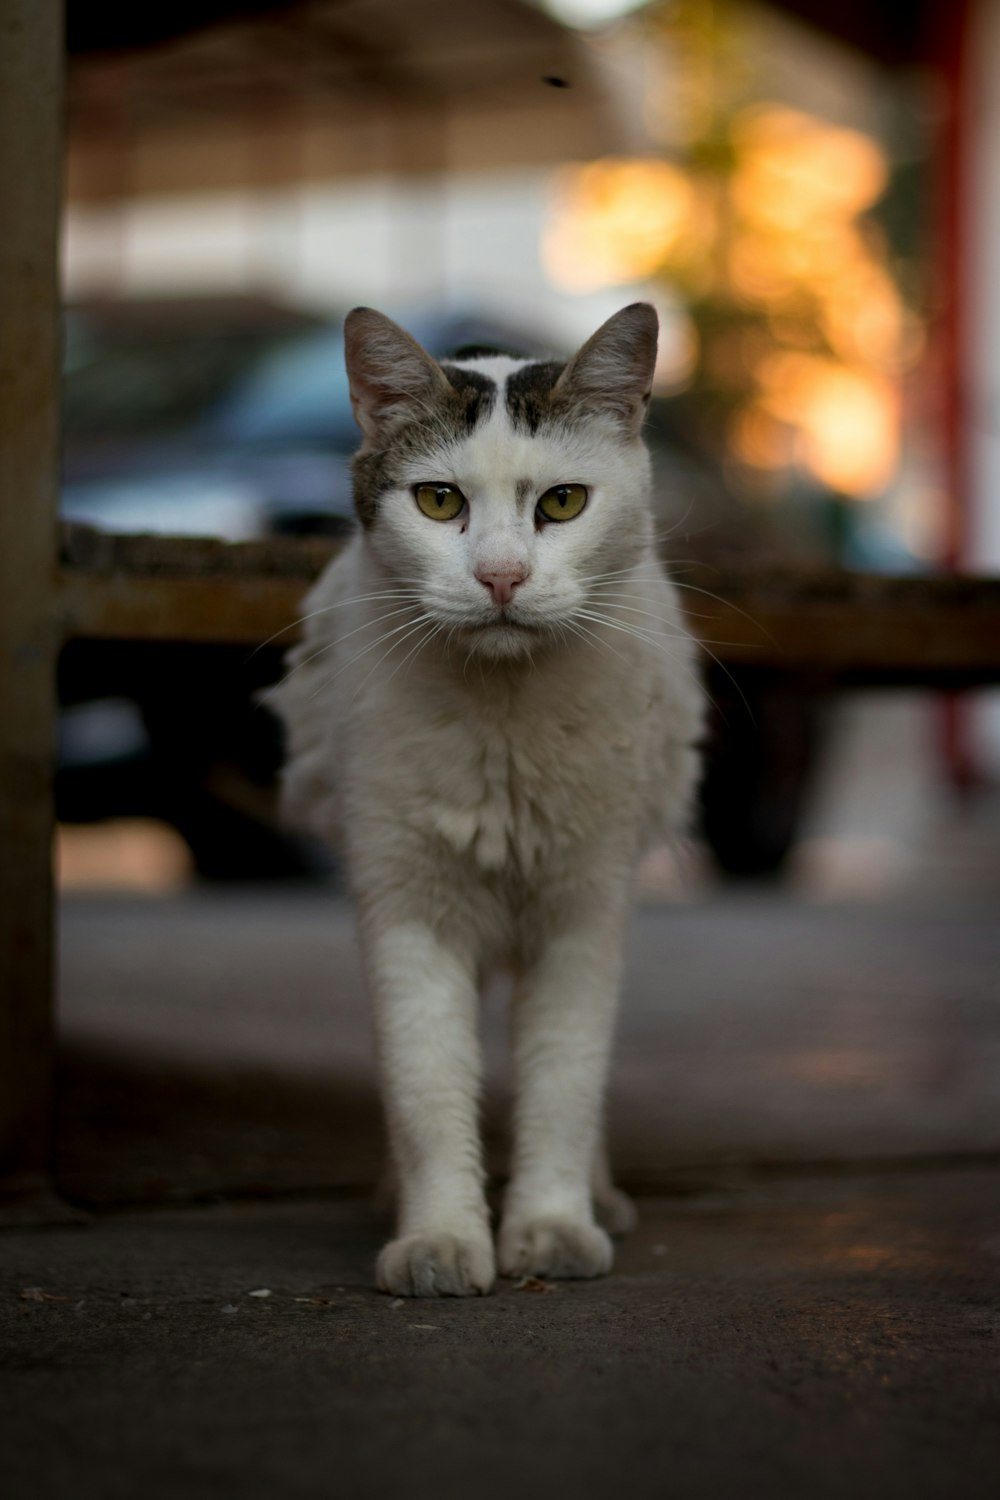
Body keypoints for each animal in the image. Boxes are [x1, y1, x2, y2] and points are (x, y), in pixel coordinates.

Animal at [274, 298, 704, 1296]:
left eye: (563, 503)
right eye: (440, 502)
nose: (502, 578)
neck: (504, 716)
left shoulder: (583, 913)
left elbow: (563, 1082)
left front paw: (553, 1227)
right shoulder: (408, 913)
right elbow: (427, 1087)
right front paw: (439, 1239)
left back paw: (601, 1202)